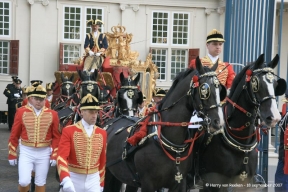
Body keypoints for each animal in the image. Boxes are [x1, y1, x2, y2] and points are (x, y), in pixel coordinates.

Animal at [194, 54, 286, 192]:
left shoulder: (244, 183)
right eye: (256, 83)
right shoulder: (216, 183)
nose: (274, 117)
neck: (241, 141)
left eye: (275, 85)